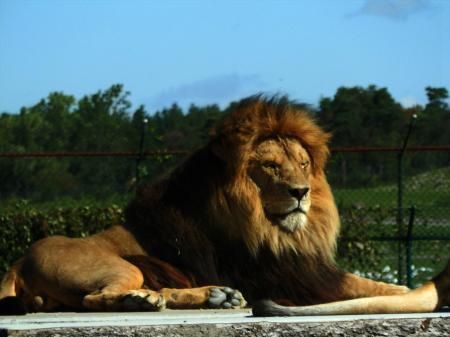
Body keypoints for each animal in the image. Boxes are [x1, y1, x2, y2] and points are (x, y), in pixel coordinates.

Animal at [2, 93, 442, 314]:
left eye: (302, 164)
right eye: (270, 166)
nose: (302, 192)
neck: (274, 232)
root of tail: (17, 262)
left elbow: (382, 284)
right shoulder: (291, 277)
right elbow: (368, 285)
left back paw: (214, 296)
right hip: (119, 266)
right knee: (93, 299)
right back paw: (141, 300)